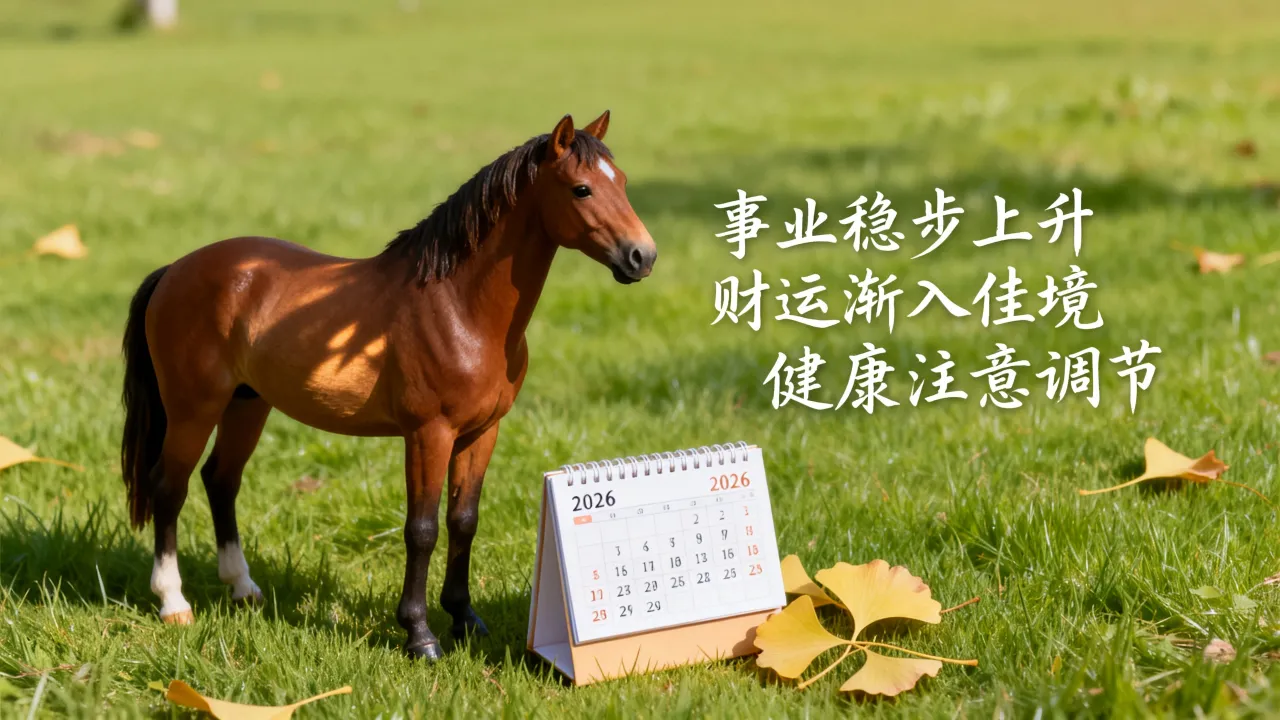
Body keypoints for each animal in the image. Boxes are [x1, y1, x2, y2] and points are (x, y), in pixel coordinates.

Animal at [119, 111, 656, 659]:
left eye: (623, 182)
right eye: (581, 189)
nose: (642, 256)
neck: (457, 306)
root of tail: (175, 270)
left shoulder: (481, 433)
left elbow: (464, 520)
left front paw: (465, 619)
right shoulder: (427, 434)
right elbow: (421, 529)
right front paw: (420, 635)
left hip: (247, 405)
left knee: (221, 480)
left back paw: (243, 588)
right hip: (193, 408)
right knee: (169, 487)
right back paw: (174, 603)